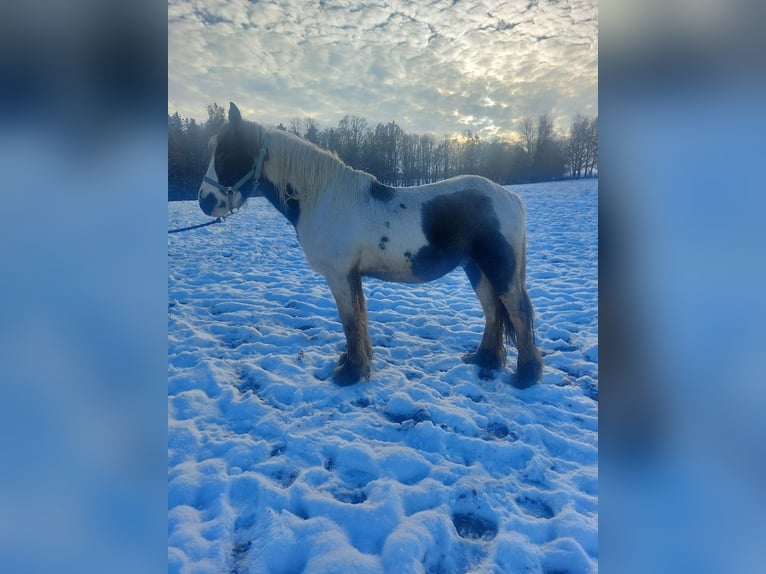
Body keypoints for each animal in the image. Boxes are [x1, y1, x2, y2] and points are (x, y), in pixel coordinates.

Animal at [198, 106, 544, 390]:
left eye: (227, 154)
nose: (204, 201)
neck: (322, 197)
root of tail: (510, 197)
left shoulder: (339, 275)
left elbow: (350, 321)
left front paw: (349, 373)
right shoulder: (353, 275)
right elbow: (359, 318)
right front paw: (356, 364)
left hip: (498, 268)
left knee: (518, 311)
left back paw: (525, 376)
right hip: (475, 267)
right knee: (492, 310)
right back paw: (486, 359)